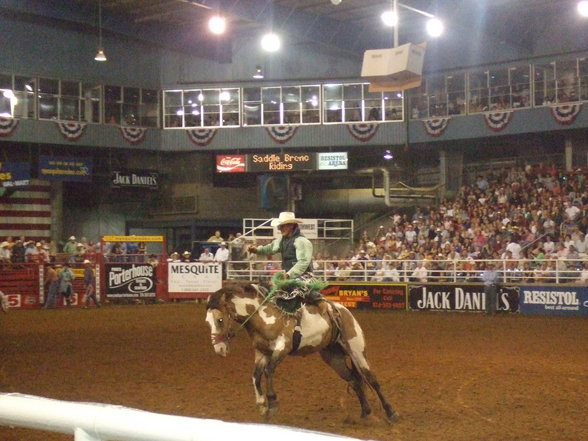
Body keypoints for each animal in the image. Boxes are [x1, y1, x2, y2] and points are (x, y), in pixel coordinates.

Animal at [204, 278, 398, 422]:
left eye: (220, 320)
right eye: (208, 322)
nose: (219, 349)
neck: (263, 315)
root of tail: (341, 310)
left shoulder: (282, 347)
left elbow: (269, 370)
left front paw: (272, 403)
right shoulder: (262, 352)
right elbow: (256, 375)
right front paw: (261, 405)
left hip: (357, 350)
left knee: (371, 379)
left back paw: (391, 413)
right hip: (334, 357)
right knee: (355, 381)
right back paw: (365, 412)